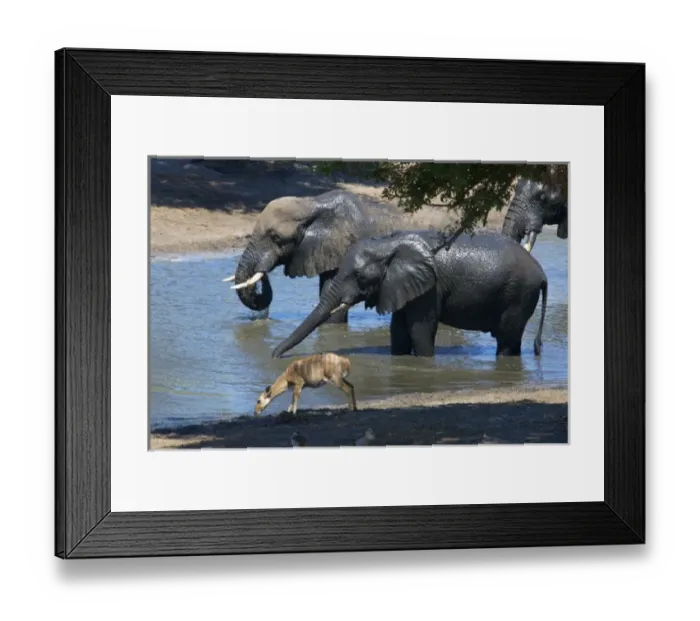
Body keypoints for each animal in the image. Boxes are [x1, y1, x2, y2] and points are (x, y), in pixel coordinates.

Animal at [271, 229, 549, 359]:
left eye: (360, 277)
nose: (274, 355)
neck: (388, 244)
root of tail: (542, 273)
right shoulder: (400, 286)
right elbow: (399, 330)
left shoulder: (429, 287)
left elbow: (419, 330)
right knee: (512, 340)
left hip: (519, 295)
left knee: (506, 339)